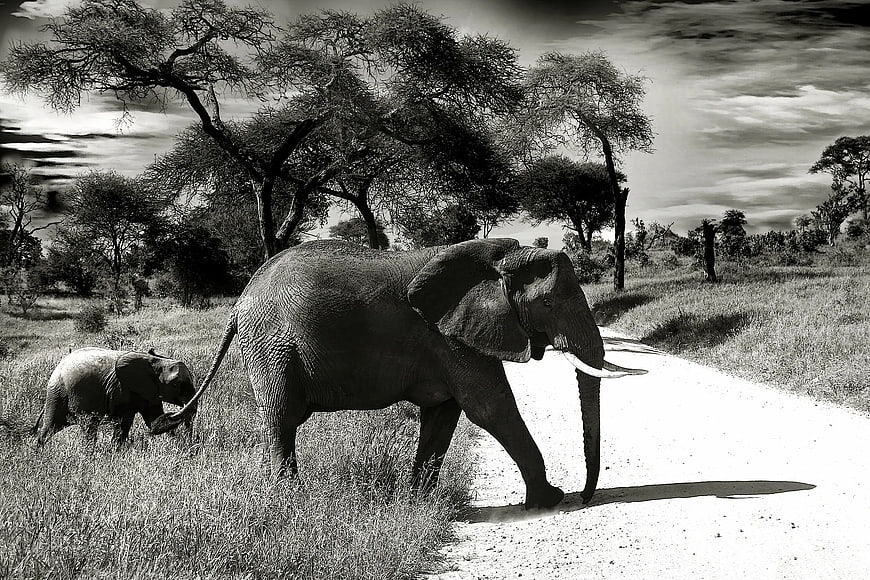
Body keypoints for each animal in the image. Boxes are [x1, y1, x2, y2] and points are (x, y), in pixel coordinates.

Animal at [33, 347, 196, 449]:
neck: (155, 361)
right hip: (57, 393)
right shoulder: (121, 388)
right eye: (175, 384)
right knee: (58, 426)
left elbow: (154, 421)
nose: (189, 445)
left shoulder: (148, 391)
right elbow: (123, 421)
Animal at [153, 238, 644, 509]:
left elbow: (445, 413)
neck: (501, 257)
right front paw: (550, 500)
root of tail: (239, 302)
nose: (586, 495)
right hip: (271, 346)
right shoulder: (447, 335)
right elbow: (489, 408)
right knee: (281, 417)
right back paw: (289, 500)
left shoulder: (448, 337)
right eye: (548, 303)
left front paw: (418, 502)